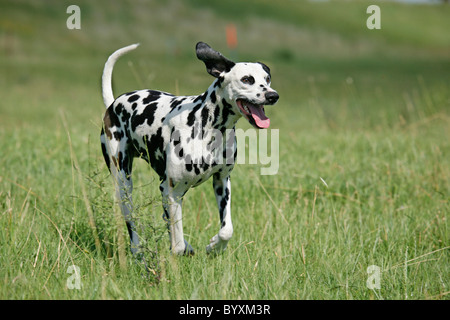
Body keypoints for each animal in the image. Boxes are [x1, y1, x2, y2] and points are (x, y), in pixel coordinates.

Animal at [100, 42, 280, 255]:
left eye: (267, 78)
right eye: (247, 79)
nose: (272, 95)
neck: (208, 127)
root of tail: (113, 104)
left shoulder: (222, 182)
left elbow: (226, 230)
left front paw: (215, 247)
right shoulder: (172, 190)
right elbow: (177, 245)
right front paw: (182, 249)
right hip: (124, 183)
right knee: (133, 222)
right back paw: (138, 250)